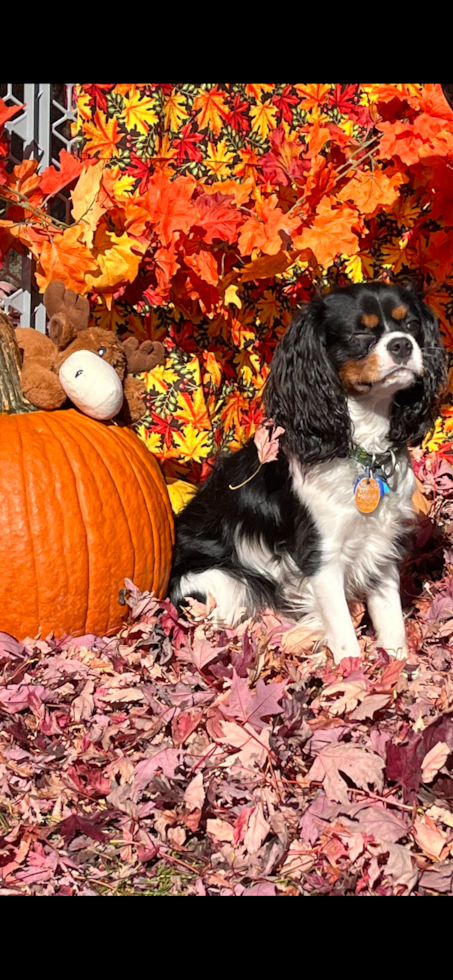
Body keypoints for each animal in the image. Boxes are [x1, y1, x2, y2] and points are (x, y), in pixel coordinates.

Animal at [169, 284, 444, 668]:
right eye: (360, 334)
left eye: (412, 325)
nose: (402, 344)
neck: (361, 451)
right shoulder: (321, 558)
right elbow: (344, 636)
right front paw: (352, 673)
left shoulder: (381, 546)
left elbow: (391, 621)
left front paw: (398, 666)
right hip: (221, 585)